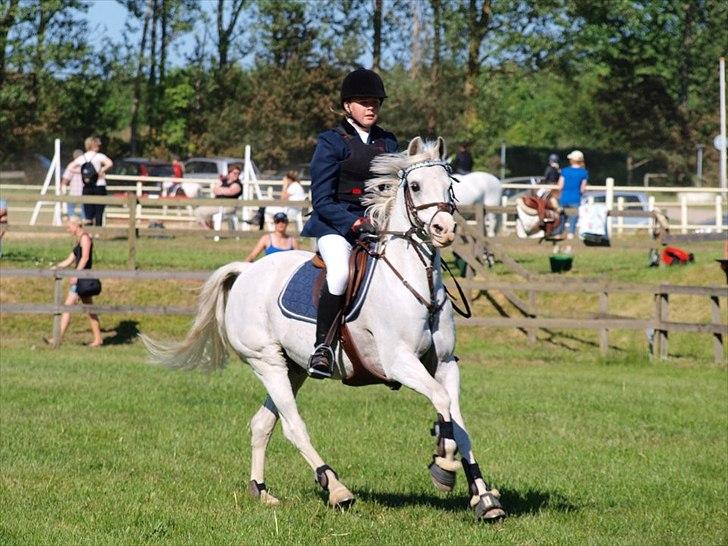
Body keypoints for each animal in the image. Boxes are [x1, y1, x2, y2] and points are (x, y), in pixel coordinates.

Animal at [141, 137, 506, 522]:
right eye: (416, 186)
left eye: (449, 185)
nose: (444, 230)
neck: (414, 280)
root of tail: (246, 270)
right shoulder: (399, 361)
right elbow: (441, 401)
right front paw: (444, 465)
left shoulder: (445, 363)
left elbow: (458, 422)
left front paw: (484, 497)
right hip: (267, 362)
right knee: (292, 426)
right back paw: (335, 488)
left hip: (293, 368)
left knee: (262, 423)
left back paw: (261, 490)